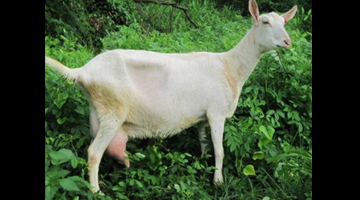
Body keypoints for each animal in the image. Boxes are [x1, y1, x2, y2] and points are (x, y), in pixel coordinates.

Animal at [45, 0, 296, 194]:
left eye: (284, 23)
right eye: (265, 22)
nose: (287, 42)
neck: (230, 68)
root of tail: (82, 71)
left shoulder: (203, 116)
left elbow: (204, 142)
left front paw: (203, 164)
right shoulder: (216, 112)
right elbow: (220, 150)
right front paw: (218, 182)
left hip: (98, 111)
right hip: (112, 110)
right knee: (94, 152)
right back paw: (96, 191)